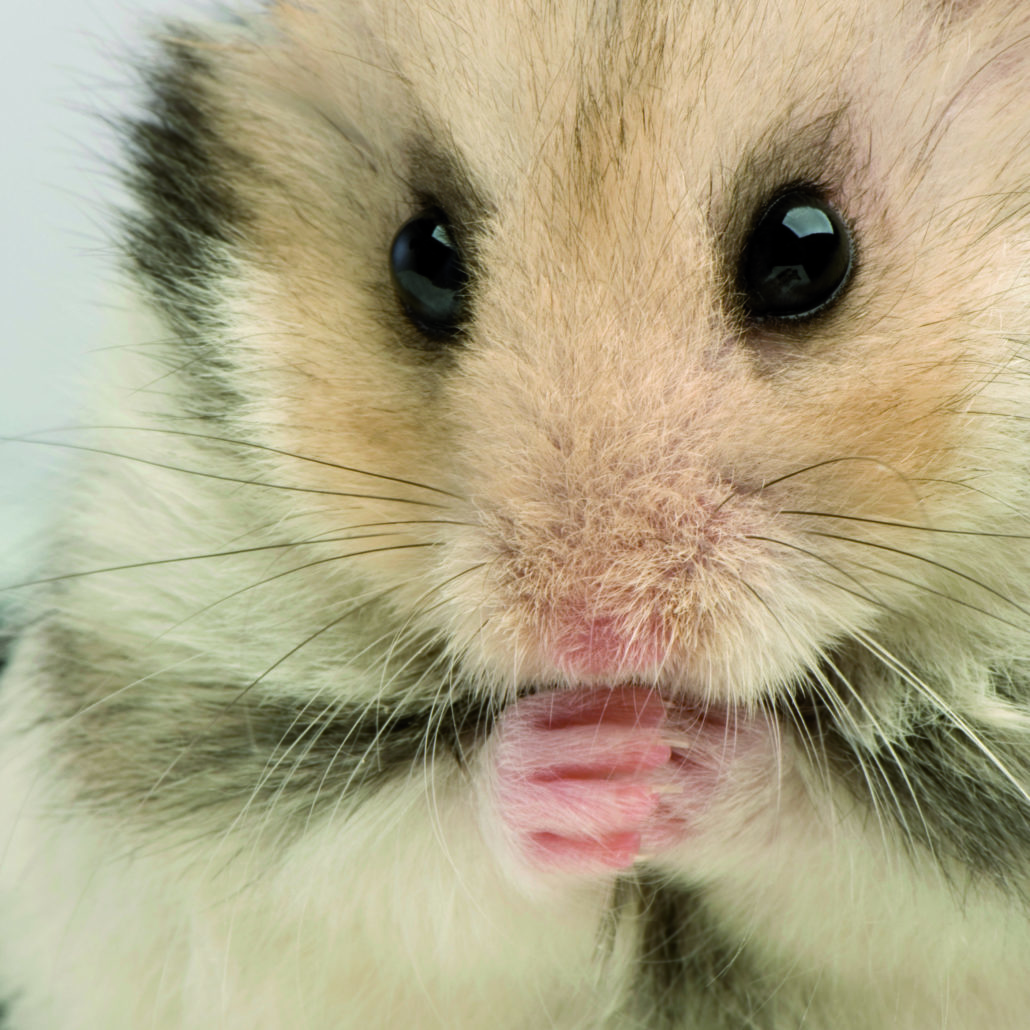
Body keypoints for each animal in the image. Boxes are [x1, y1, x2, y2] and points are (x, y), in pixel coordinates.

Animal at [2, 0, 1030, 1026]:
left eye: (804, 249)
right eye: (421, 257)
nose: (594, 642)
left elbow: (836, 838)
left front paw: (674, 754)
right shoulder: (204, 748)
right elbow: (425, 846)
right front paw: (593, 758)